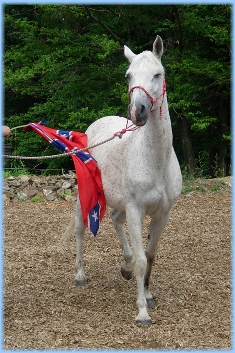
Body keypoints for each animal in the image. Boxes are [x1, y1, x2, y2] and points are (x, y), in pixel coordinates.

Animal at [63, 35, 183, 324]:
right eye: (129, 75)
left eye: (158, 74)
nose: (138, 111)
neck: (156, 160)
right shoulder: (136, 210)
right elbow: (141, 259)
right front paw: (142, 312)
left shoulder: (163, 213)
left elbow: (150, 255)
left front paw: (148, 295)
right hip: (85, 196)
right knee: (80, 228)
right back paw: (80, 275)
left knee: (116, 221)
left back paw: (124, 267)